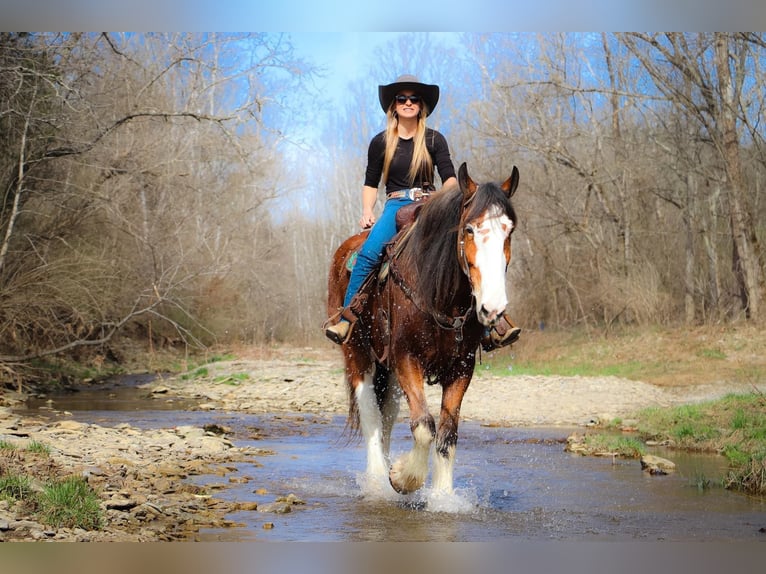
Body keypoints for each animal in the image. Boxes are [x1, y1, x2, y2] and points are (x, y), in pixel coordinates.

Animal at [328, 161, 520, 496]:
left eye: (508, 231)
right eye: (469, 229)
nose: (492, 307)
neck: (438, 292)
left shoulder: (461, 368)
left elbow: (446, 434)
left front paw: (442, 497)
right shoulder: (407, 359)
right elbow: (423, 426)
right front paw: (403, 478)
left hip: (386, 366)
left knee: (388, 412)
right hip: (357, 353)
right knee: (370, 411)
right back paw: (377, 478)